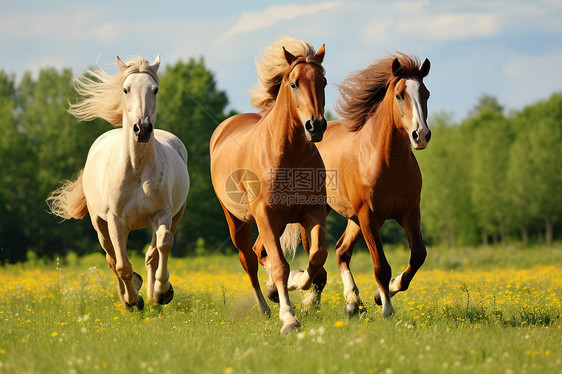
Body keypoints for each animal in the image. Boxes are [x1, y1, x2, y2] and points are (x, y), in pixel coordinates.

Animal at [48, 54, 188, 308]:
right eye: (126, 89)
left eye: (155, 89)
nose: (142, 129)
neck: (136, 170)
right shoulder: (116, 221)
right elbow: (122, 265)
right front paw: (133, 301)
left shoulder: (162, 214)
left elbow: (163, 244)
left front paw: (162, 292)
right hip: (100, 225)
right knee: (112, 259)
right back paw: (130, 296)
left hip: (176, 214)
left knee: (152, 254)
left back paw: (152, 296)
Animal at [208, 37, 326, 334]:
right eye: (294, 84)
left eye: (323, 82)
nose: (315, 126)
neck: (289, 154)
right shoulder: (265, 214)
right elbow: (280, 266)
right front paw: (289, 318)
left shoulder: (312, 212)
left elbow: (317, 256)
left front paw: (299, 283)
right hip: (239, 221)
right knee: (249, 260)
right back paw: (264, 308)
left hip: (276, 222)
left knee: (261, 252)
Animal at [316, 53, 428, 318]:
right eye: (400, 95)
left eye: (426, 93)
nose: (421, 135)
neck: (388, 163)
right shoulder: (369, 216)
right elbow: (381, 266)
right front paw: (387, 308)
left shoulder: (410, 213)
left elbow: (418, 255)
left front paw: (384, 292)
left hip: (353, 219)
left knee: (340, 251)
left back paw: (353, 302)